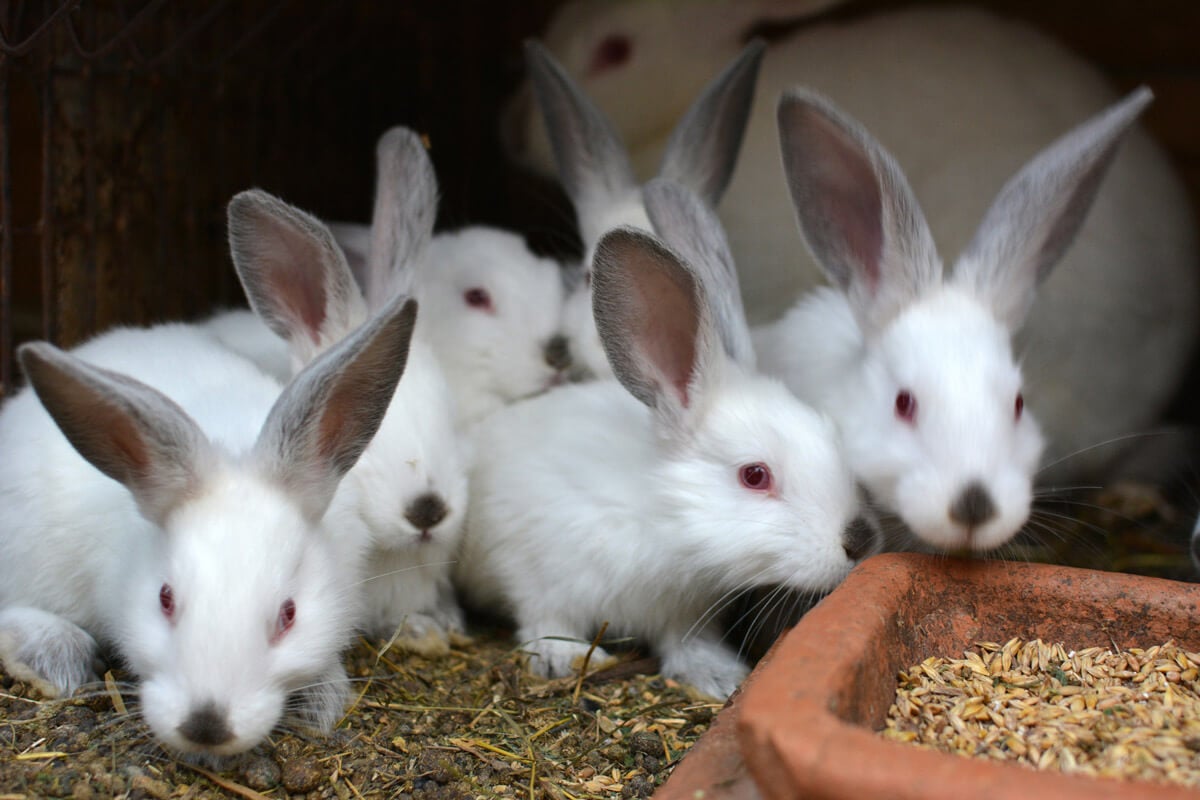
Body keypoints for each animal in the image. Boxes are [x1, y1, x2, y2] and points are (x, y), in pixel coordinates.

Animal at [455, 178, 877, 700]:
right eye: (754, 475)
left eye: (829, 431)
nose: (858, 540)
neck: (657, 517)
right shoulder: (533, 571)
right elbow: (545, 619)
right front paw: (563, 659)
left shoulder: (683, 613)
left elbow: (686, 643)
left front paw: (716, 675)